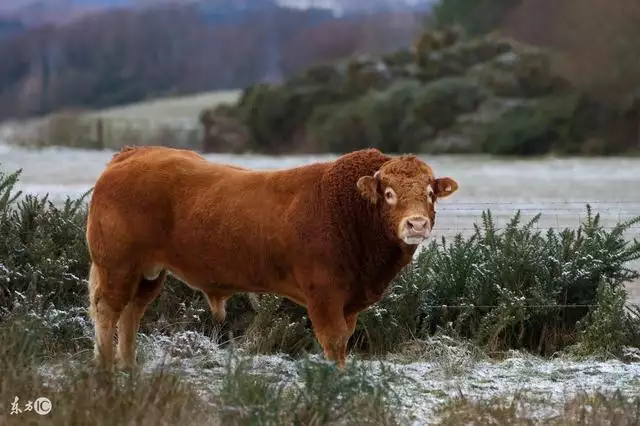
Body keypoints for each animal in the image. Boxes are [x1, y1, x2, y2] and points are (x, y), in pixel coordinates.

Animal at [85, 145, 458, 368]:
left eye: (429, 193)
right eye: (389, 194)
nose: (417, 223)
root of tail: (132, 154)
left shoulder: (349, 303)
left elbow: (345, 339)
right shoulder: (324, 296)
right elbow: (334, 341)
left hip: (148, 272)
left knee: (132, 312)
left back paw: (129, 368)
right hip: (118, 265)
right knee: (108, 310)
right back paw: (106, 371)